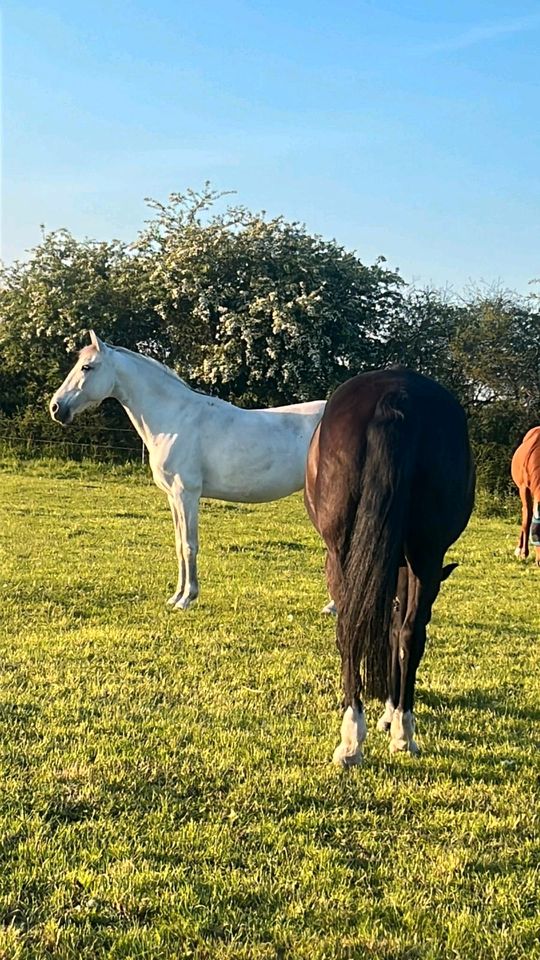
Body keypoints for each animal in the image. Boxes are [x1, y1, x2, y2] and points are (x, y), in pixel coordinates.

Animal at [50, 332, 326, 608]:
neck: (175, 420)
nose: (56, 408)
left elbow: (189, 545)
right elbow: (178, 544)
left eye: (87, 367)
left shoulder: (187, 494)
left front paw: (187, 598)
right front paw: (176, 596)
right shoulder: (173, 496)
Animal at [306, 368, 474, 764]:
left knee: (349, 627)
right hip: (427, 553)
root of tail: (397, 395)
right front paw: (390, 713)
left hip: (341, 553)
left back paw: (353, 738)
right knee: (412, 631)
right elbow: (396, 628)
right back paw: (403, 733)